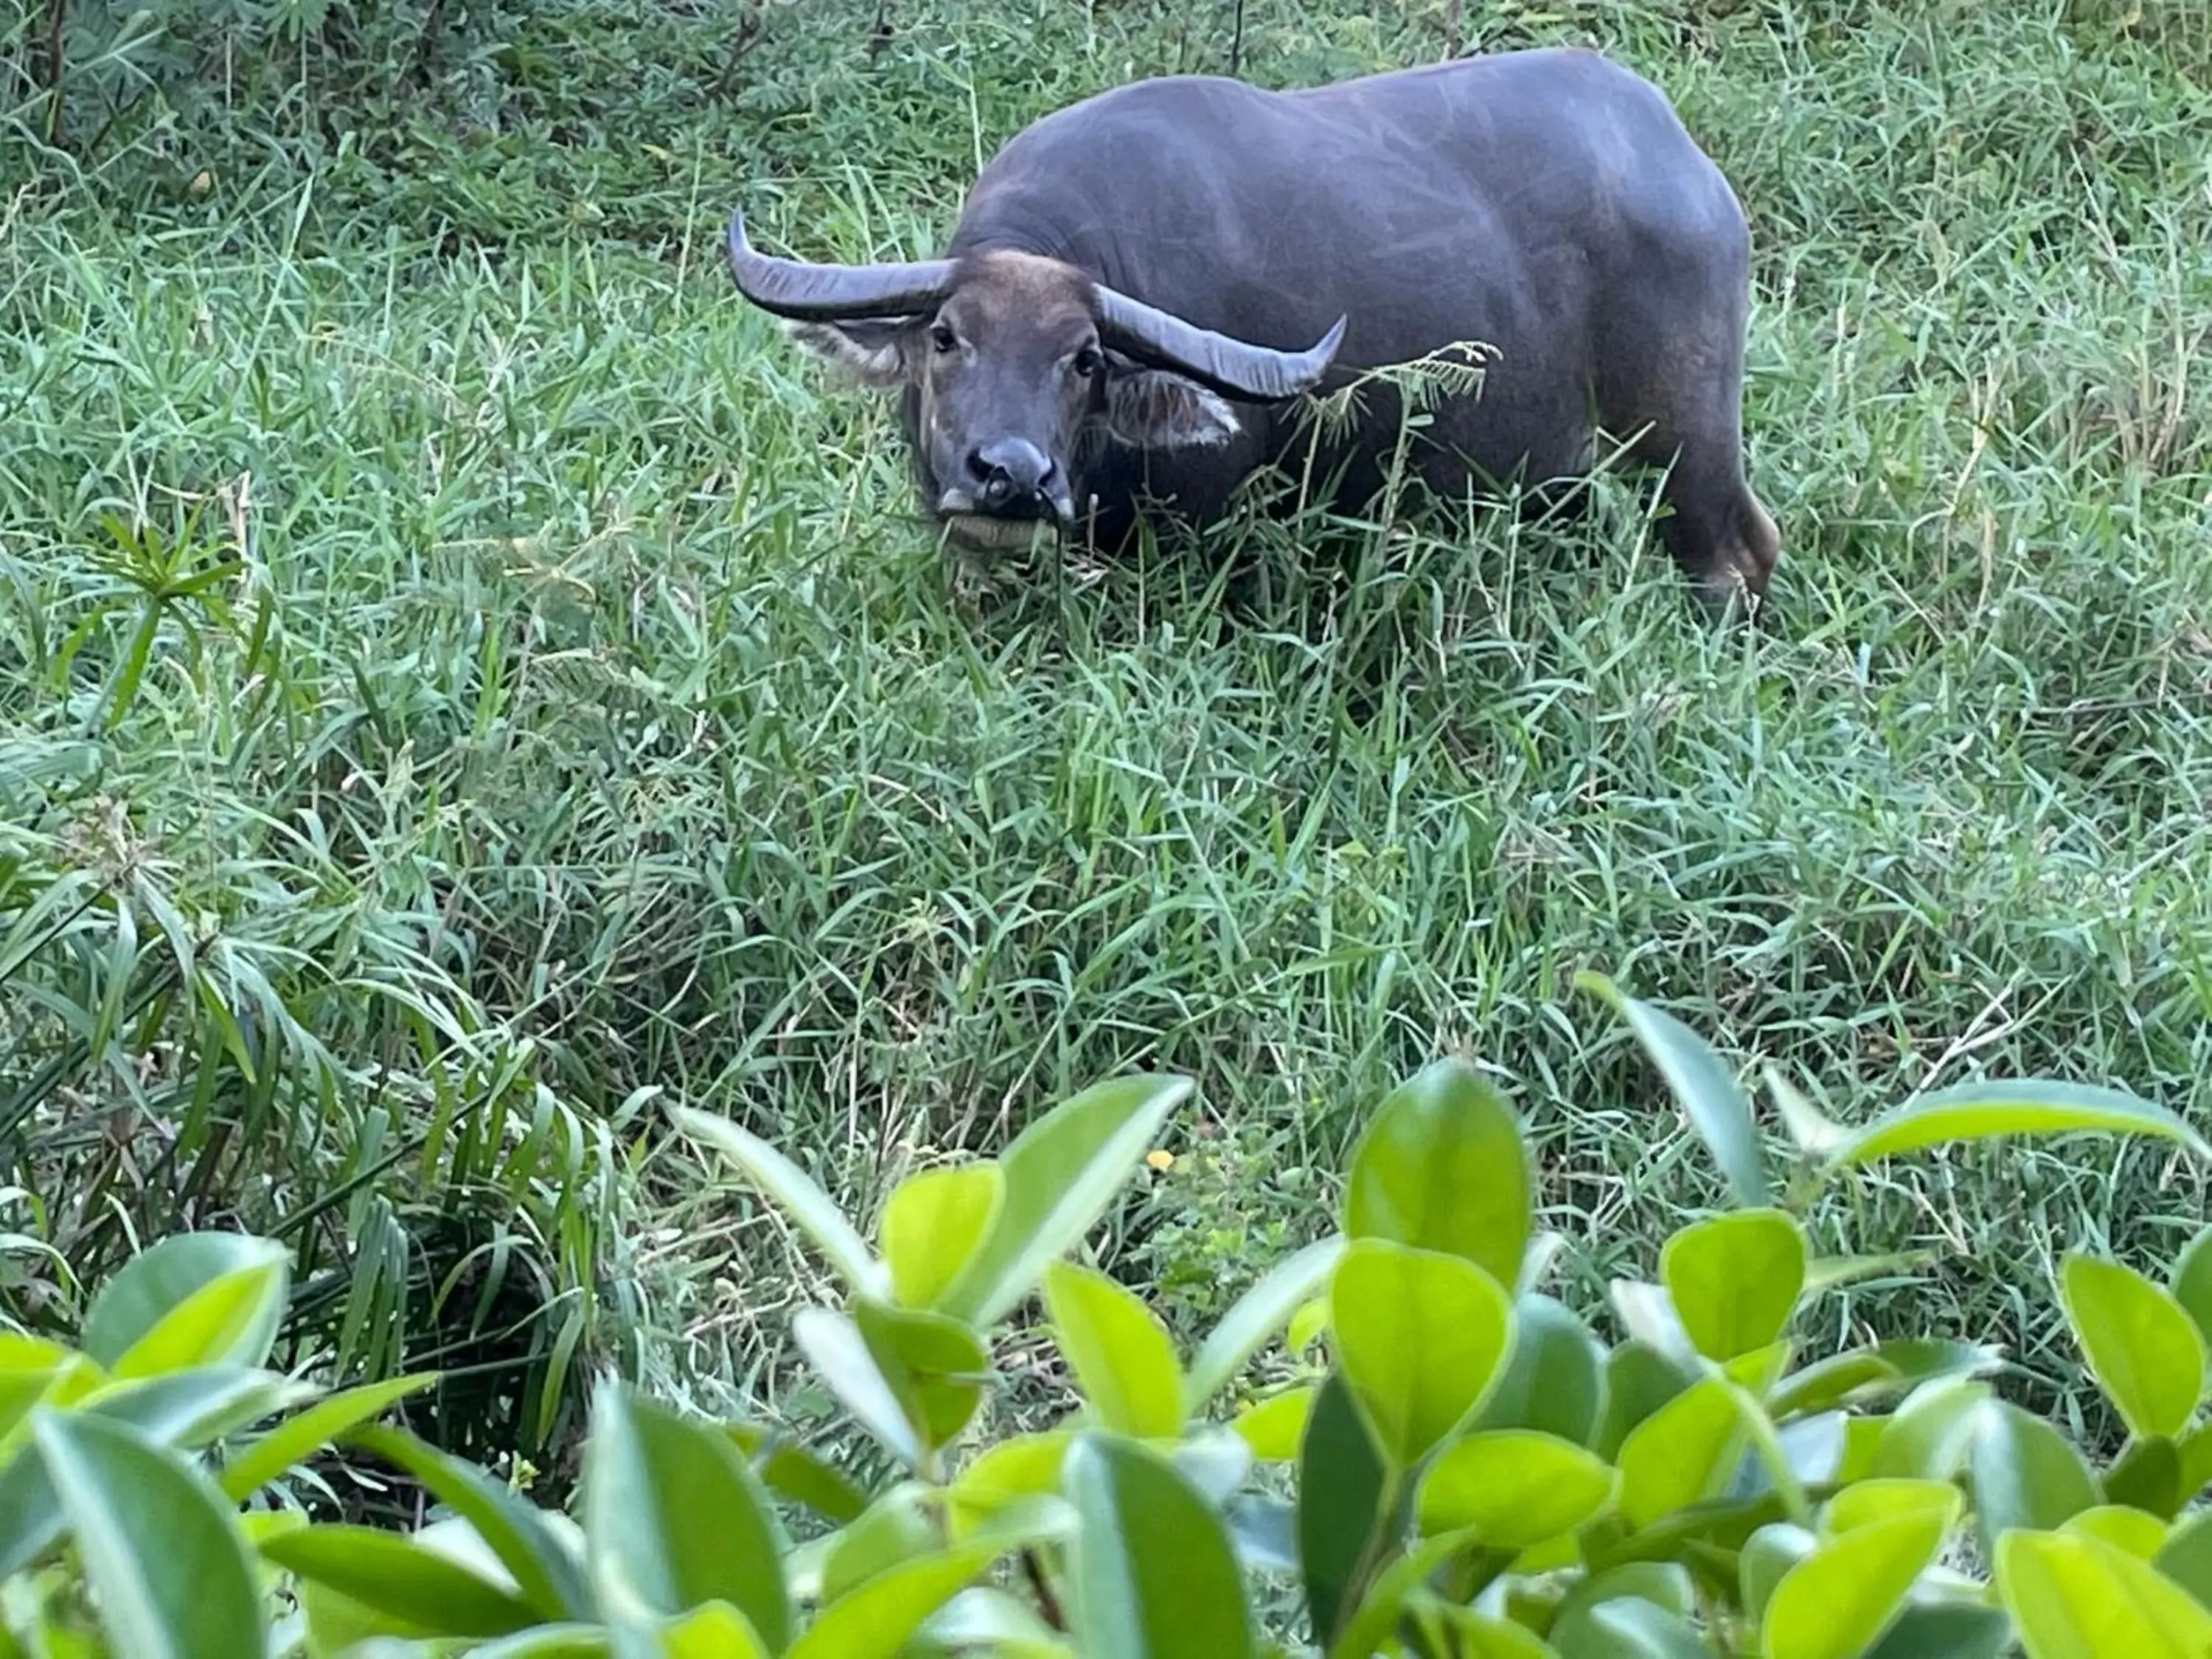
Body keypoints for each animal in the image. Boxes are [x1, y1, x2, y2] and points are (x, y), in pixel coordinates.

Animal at [726, 46, 1778, 619]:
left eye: (1085, 359)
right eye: (946, 336)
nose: (1013, 475)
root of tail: (1690, 168)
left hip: (1682, 437)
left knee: (1734, 553)